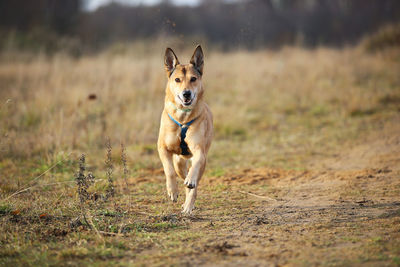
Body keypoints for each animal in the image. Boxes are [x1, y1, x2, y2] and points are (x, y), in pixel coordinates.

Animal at [157, 45, 214, 215]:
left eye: (193, 79)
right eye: (177, 80)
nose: (186, 93)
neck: (183, 118)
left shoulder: (199, 150)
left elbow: (195, 166)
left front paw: (190, 183)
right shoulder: (162, 148)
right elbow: (168, 170)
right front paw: (172, 191)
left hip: (201, 161)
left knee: (193, 183)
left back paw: (188, 204)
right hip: (179, 163)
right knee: (179, 171)